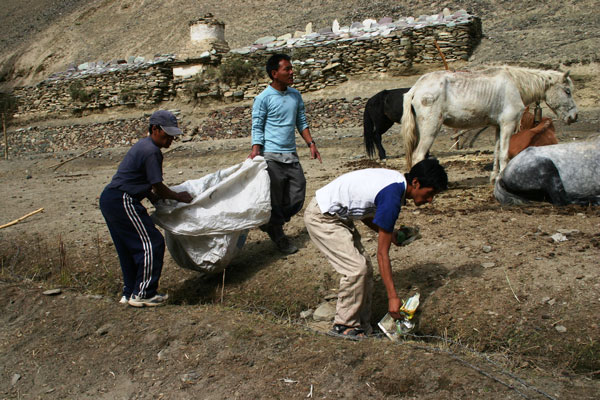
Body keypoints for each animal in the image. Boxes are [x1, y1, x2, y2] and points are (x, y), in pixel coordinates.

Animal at [400, 65, 580, 181]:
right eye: (567, 91)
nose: (574, 116)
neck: (515, 85)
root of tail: (416, 88)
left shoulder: (498, 127)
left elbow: (496, 151)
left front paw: (494, 176)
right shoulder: (508, 125)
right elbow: (504, 153)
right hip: (430, 130)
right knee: (418, 156)